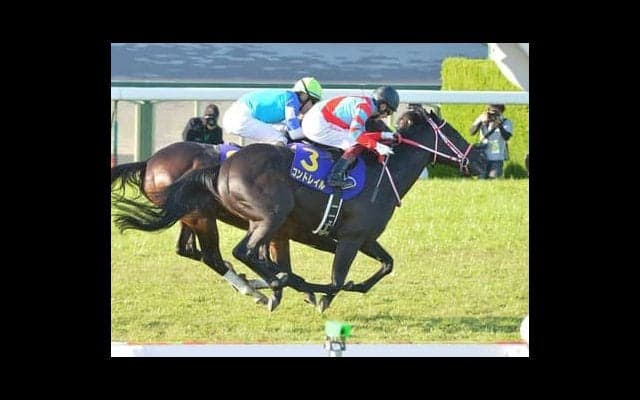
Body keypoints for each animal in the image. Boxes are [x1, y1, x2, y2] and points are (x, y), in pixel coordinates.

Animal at [113, 106, 488, 312]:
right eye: (453, 132)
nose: (481, 160)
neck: (383, 173)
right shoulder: (349, 238)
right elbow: (336, 281)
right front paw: (316, 294)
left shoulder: (360, 238)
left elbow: (386, 265)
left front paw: (301, 288)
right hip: (248, 216)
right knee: (229, 254)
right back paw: (263, 288)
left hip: (204, 218)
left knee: (201, 253)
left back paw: (263, 286)